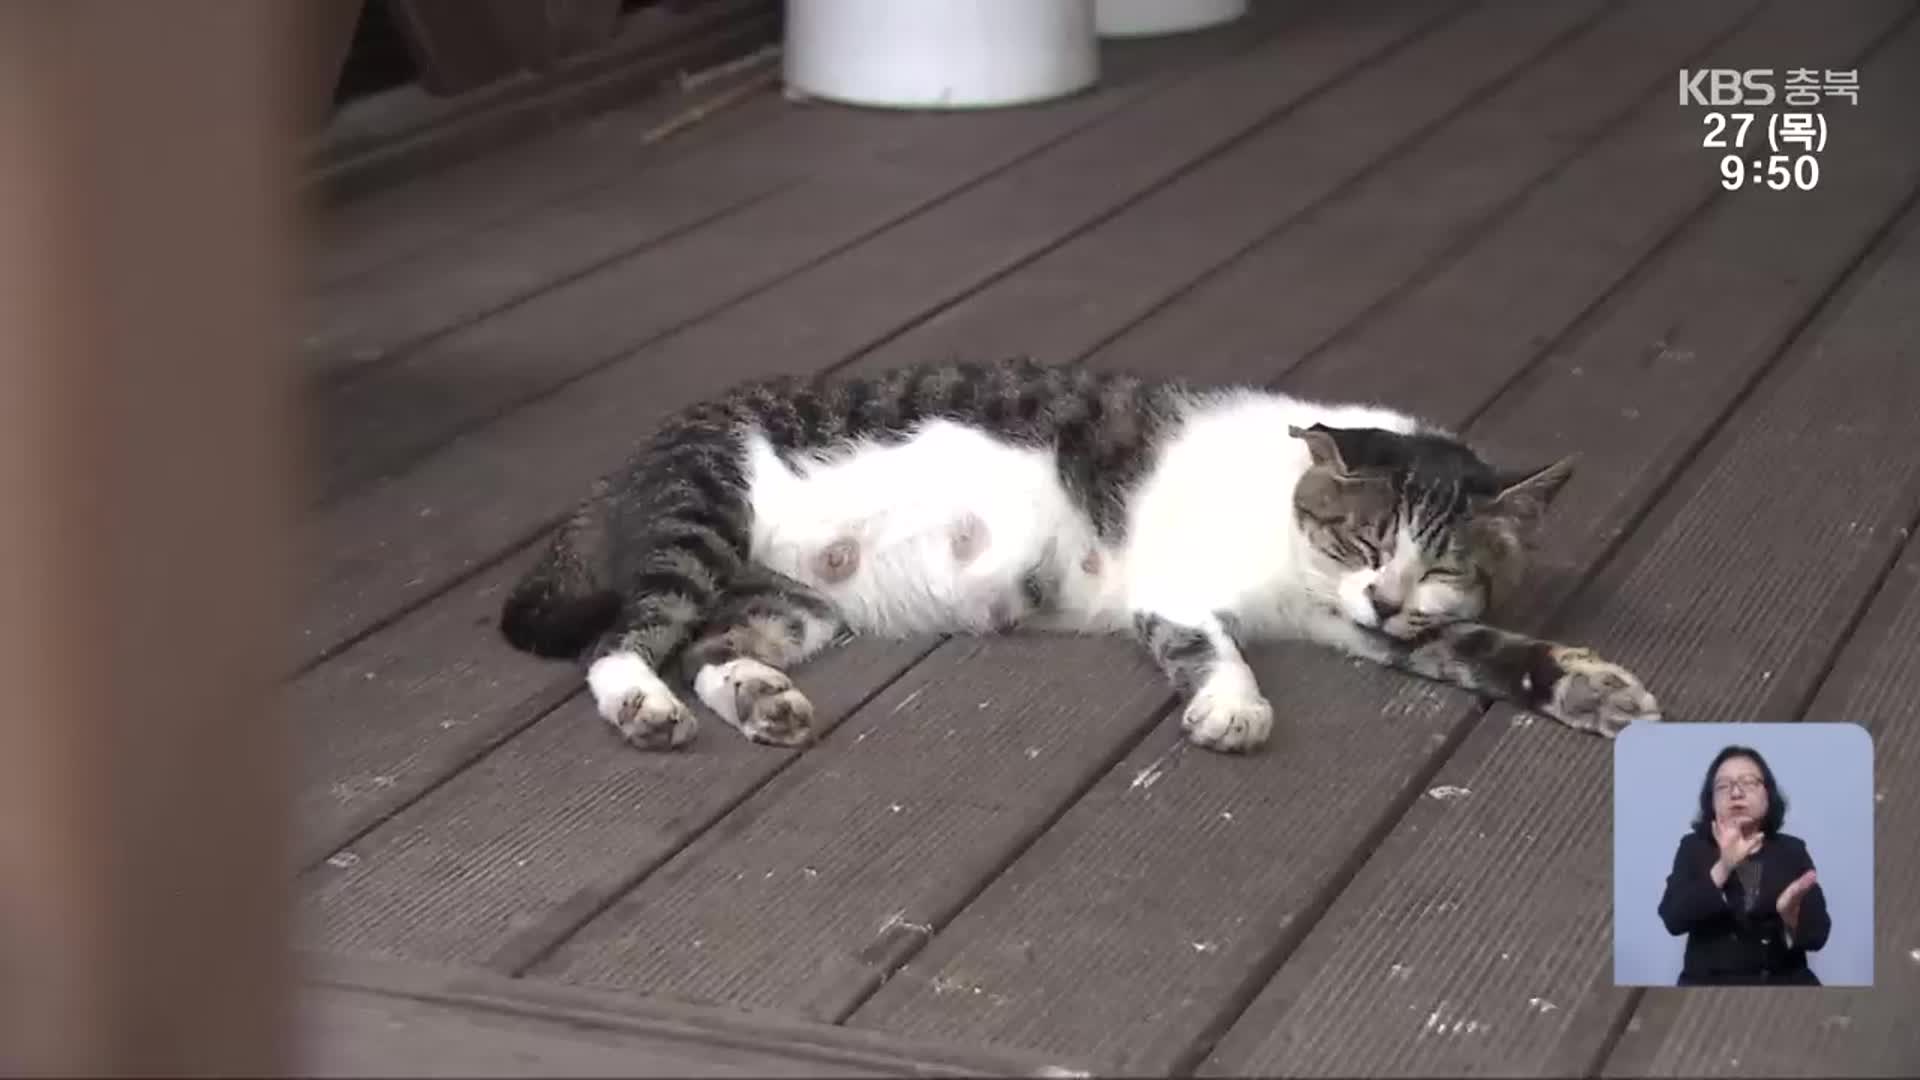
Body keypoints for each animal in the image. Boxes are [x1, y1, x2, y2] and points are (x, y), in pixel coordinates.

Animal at [503, 353, 1658, 749]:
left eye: (1448, 565)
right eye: (1361, 535)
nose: (1385, 597)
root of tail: (634, 457)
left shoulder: (1389, 629)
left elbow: (1487, 650)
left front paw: (1587, 686)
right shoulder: (1179, 591)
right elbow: (1216, 650)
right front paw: (1233, 708)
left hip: (793, 604)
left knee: (708, 646)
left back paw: (757, 698)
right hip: (699, 524)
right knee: (624, 640)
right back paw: (642, 706)